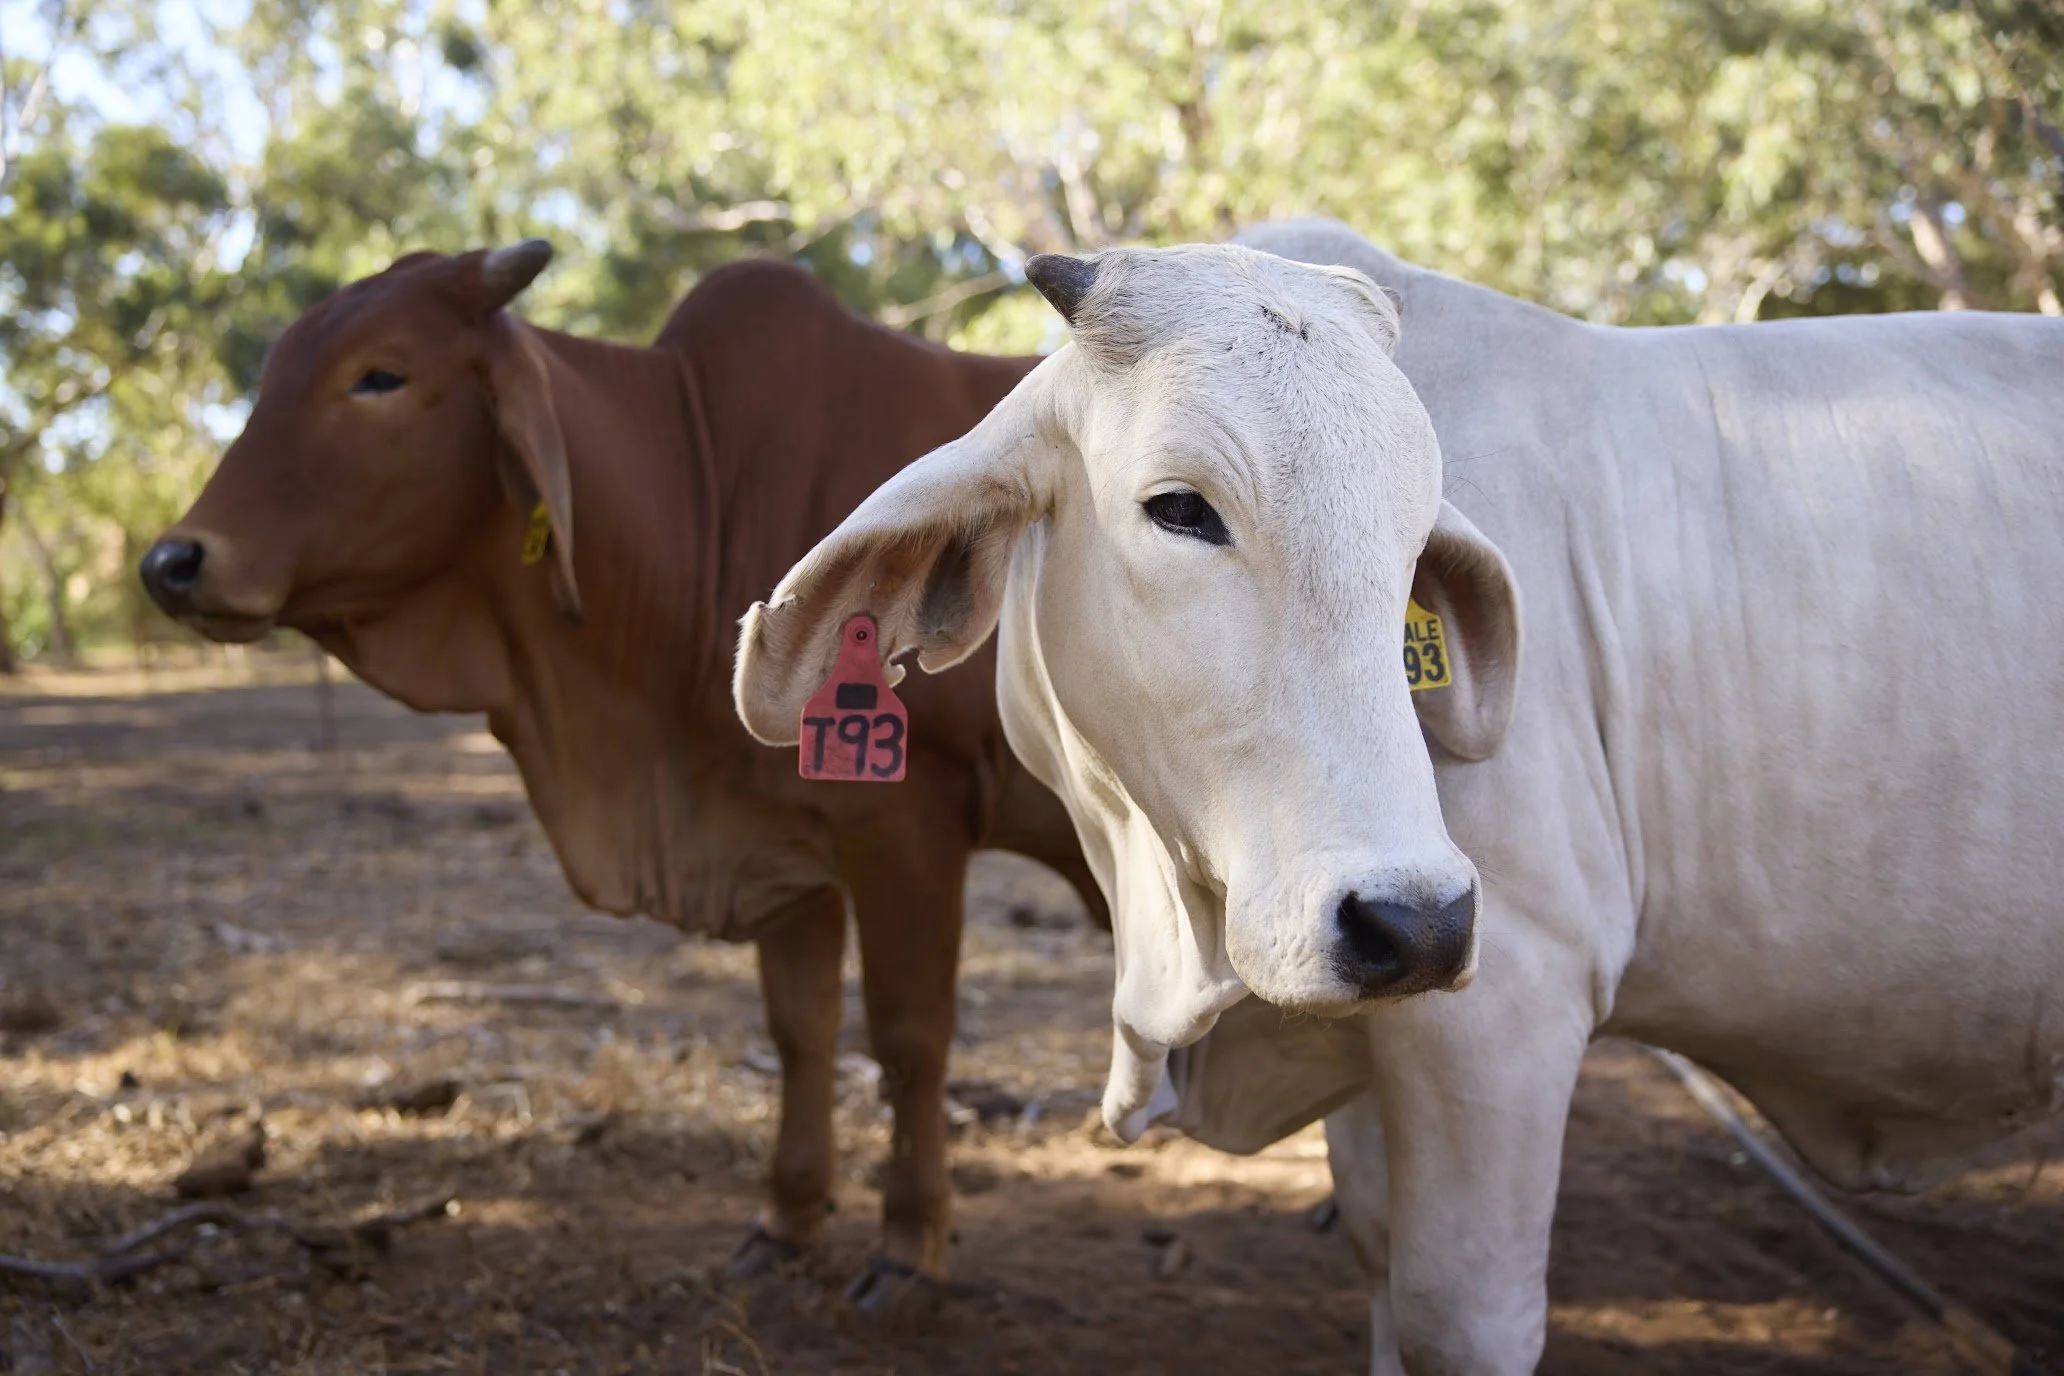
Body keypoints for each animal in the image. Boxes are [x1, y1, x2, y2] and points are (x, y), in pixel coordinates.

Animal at [139, 241, 1103, 1309]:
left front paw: (908, 1242)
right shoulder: (783, 847)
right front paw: (786, 1221)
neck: (705, 490)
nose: (173, 562)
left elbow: (909, 1039)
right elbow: (800, 1032)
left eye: (380, 374)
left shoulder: (908, 831)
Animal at [733, 218, 2064, 1372]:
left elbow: (1453, 1313)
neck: (1177, 924)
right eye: (1180, 507)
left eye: (1417, 539)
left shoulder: (1506, 1011)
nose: (1414, 920)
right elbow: (1377, 1260)